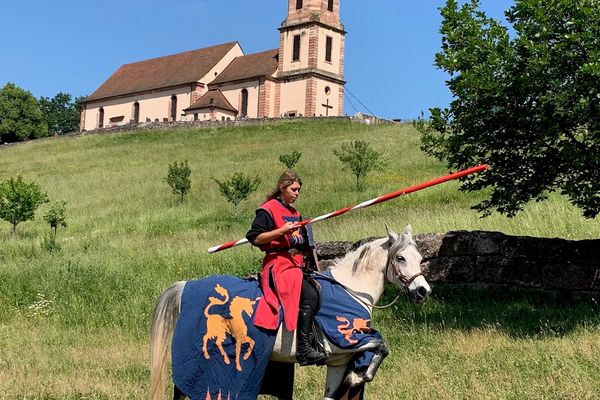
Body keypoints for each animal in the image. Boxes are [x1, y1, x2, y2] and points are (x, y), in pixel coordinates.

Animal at [151, 225, 432, 400]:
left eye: (420, 257)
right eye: (401, 258)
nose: (422, 291)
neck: (352, 288)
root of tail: (186, 288)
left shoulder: (338, 361)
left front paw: (355, 377)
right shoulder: (345, 339)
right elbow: (381, 344)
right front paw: (362, 375)